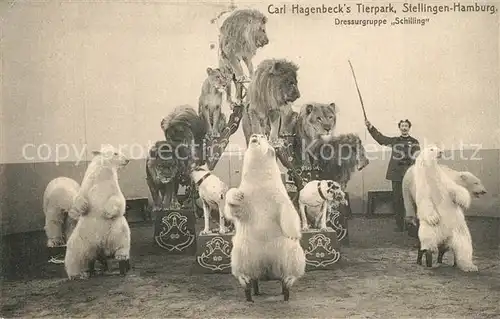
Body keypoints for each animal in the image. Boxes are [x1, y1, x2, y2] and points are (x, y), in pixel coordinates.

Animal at [64, 145, 131, 280]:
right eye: (116, 153)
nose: (127, 160)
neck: (102, 175)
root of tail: (101, 248)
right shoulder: (88, 184)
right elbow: (79, 197)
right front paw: (84, 206)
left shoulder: (113, 186)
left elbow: (119, 200)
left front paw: (106, 212)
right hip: (81, 237)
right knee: (75, 254)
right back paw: (76, 274)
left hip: (116, 229)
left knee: (123, 237)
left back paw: (121, 256)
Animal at [226, 134, 304, 304]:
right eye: (255, 135)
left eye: (263, 136)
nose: (254, 135)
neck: (259, 184)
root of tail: (267, 271)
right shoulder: (248, 194)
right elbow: (234, 208)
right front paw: (236, 196)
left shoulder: (278, 194)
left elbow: (288, 209)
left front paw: (294, 233)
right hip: (242, 250)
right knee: (242, 268)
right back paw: (247, 284)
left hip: (289, 251)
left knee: (294, 264)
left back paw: (287, 282)